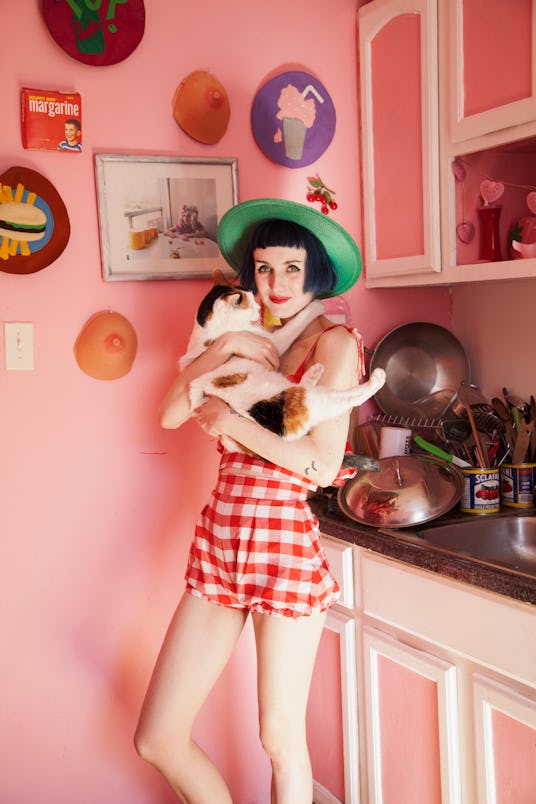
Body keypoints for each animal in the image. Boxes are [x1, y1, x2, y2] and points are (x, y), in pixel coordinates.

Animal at [180, 276, 386, 450]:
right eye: (250, 304)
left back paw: (314, 372)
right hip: (309, 401)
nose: (258, 308)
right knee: (349, 397)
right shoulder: (273, 343)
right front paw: (317, 306)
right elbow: (297, 322)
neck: (212, 332)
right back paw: (377, 378)